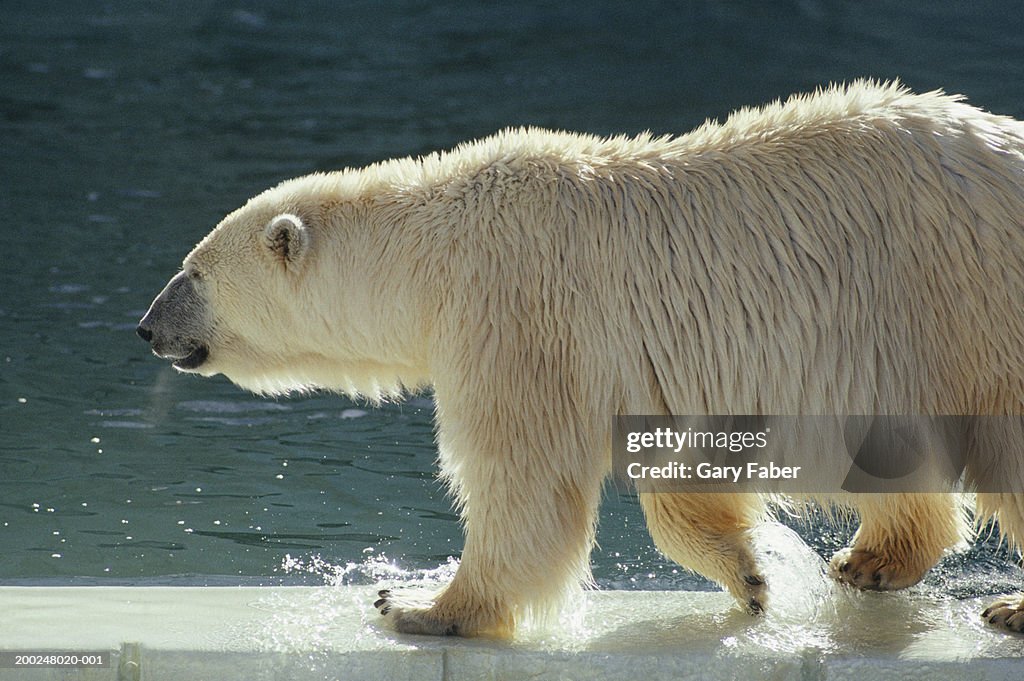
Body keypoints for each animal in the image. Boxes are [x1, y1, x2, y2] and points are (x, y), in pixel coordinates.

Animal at [140, 80, 1024, 639]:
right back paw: (870, 559)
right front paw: (750, 571)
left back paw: (1006, 606)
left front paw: (419, 603)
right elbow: (681, 479)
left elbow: (522, 479)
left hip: (971, 301)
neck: (433, 254)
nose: (147, 327)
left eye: (194, 272)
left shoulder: (514, 314)